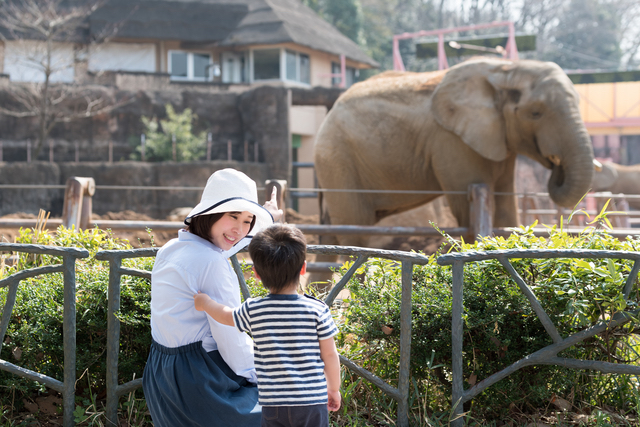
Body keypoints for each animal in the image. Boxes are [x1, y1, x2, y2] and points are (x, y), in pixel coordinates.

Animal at [314, 57, 596, 251]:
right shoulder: (452, 142)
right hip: (338, 159)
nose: (555, 163)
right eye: (536, 113)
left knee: (329, 229)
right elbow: (466, 213)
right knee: (354, 230)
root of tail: (329, 113)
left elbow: (506, 213)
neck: (506, 69)